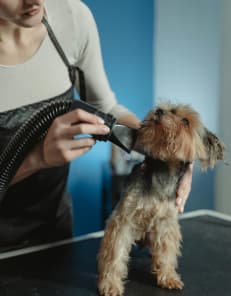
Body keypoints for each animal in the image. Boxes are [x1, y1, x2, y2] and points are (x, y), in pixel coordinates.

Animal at [97, 102, 224, 296]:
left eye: (186, 121)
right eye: (167, 108)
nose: (159, 111)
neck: (163, 171)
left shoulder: (166, 223)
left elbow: (166, 252)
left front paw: (168, 277)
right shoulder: (123, 219)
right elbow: (115, 253)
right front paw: (110, 283)